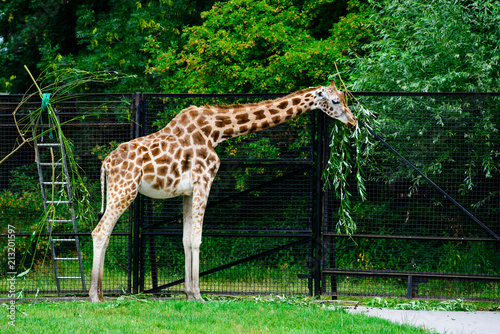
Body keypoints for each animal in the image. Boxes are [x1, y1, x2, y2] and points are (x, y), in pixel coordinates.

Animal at [89, 80, 356, 302]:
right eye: (335, 101)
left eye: (344, 98)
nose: (353, 122)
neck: (217, 131)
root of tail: (105, 164)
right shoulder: (204, 180)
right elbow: (196, 239)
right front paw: (198, 296)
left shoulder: (188, 191)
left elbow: (186, 239)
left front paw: (188, 294)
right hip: (125, 189)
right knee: (100, 232)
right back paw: (94, 296)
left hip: (119, 190)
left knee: (105, 233)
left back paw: (100, 294)